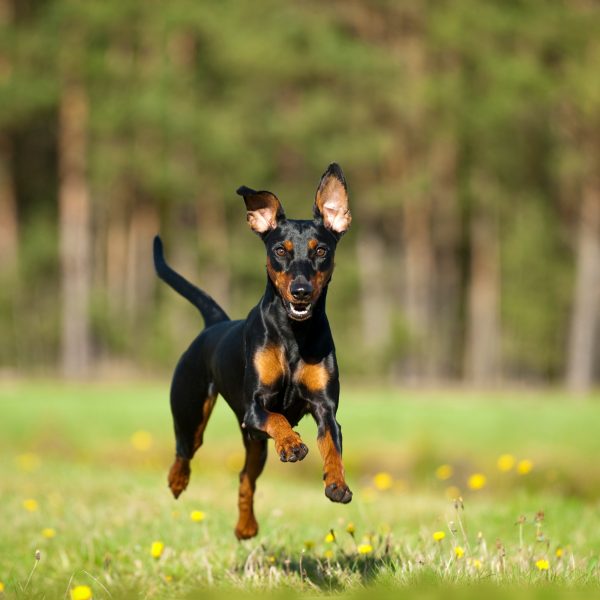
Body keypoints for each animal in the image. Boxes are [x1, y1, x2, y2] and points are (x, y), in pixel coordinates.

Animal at [152, 163, 354, 540]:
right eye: (280, 251)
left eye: (321, 250)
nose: (301, 291)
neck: (294, 334)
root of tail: (214, 323)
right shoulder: (254, 408)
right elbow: (277, 418)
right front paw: (292, 444)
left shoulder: (325, 409)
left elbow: (332, 446)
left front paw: (337, 483)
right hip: (191, 409)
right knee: (184, 449)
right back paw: (177, 480)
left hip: (255, 444)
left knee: (246, 477)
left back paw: (246, 527)